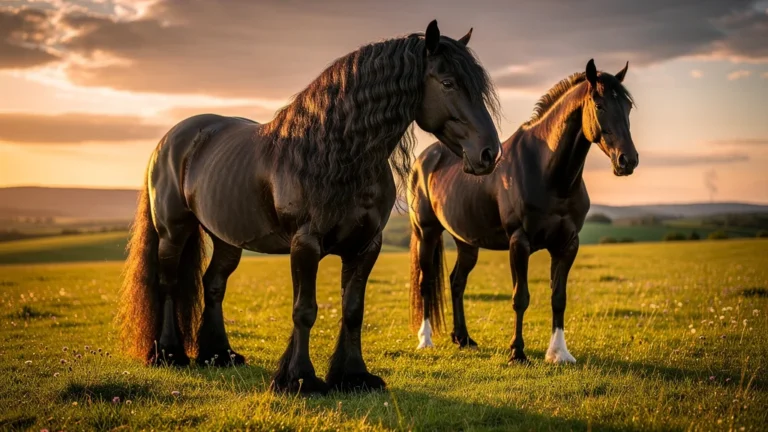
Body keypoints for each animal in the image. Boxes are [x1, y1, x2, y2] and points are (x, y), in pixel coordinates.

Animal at [117, 20, 501, 395]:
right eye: (448, 82)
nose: (489, 153)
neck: (337, 155)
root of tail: (173, 138)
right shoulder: (305, 245)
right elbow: (305, 310)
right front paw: (300, 379)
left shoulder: (366, 246)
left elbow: (353, 310)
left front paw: (353, 376)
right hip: (174, 230)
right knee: (168, 283)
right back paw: (168, 354)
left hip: (228, 239)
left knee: (213, 284)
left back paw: (219, 355)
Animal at [408, 59, 638, 364]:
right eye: (599, 105)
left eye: (628, 106)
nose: (628, 160)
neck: (548, 172)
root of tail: (423, 159)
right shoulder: (520, 242)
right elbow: (521, 298)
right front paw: (517, 352)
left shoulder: (568, 244)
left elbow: (558, 297)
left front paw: (559, 353)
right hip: (427, 233)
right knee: (426, 282)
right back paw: (426, 340)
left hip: (466, 242)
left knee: (457, 282)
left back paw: (463, 338)